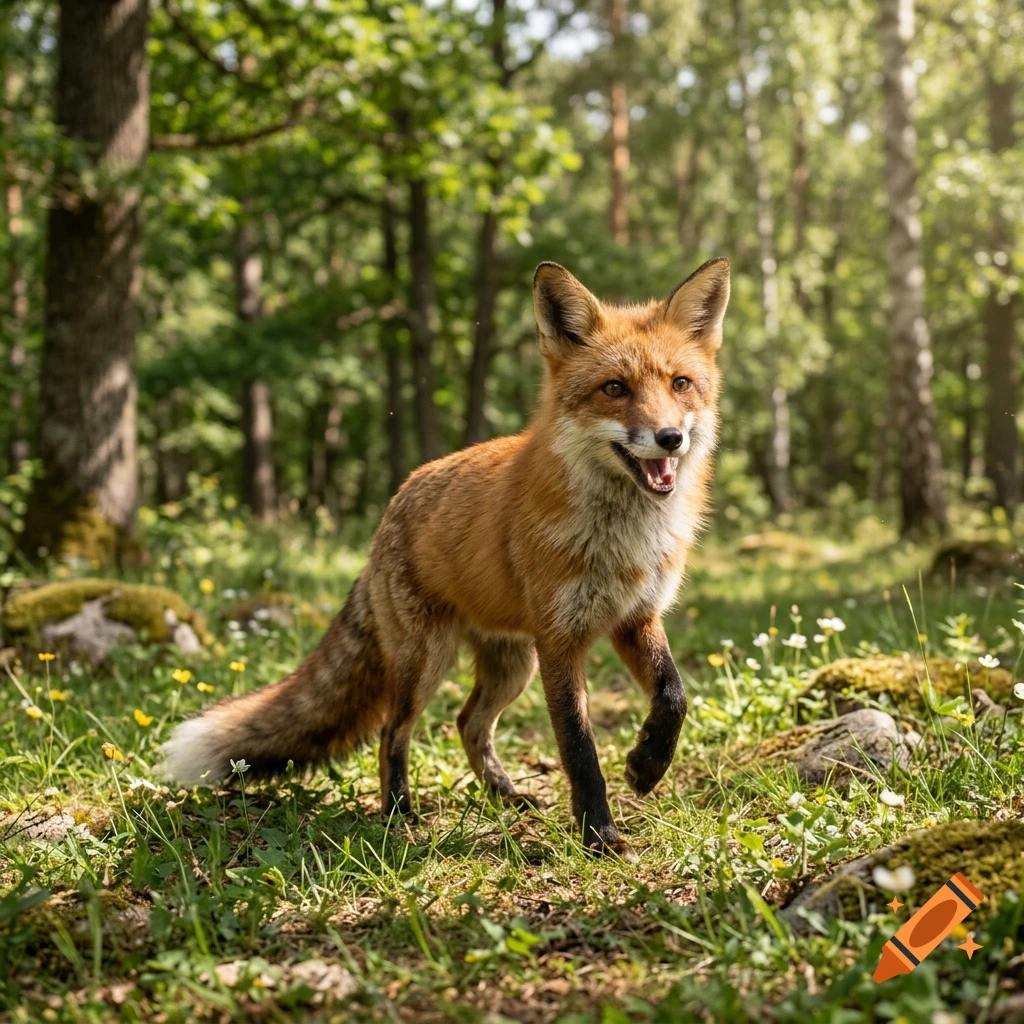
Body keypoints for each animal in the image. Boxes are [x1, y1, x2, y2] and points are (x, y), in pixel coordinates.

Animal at [159, 256, 730, 857]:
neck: (624, 539)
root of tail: (391, 510)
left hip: (512, 667)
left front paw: (646, 767)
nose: (669, 438)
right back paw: (398, 813)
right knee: (393, 730)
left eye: (681, 384)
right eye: (614, 388)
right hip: (427, 663)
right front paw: (598, 834)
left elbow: (674, 696)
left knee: (467, 723)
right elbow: (579, 748)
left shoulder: (635, 617)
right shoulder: (560, 639)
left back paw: (506, 796)